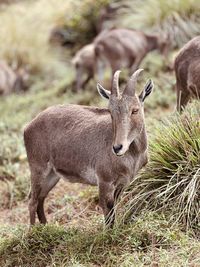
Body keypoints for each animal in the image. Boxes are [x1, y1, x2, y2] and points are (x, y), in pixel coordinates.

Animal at [24, 68, 154, 226]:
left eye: (135, 110)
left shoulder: (122, 183)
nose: (117, 147)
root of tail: (28, 127)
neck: (133, 155)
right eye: (110, 112)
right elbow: (108, 211)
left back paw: (45, 227)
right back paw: (33, 230)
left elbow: (115, 208)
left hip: (52, 175)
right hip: (38, 168)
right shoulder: (104, 181)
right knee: (32, 200)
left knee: (41, 198)